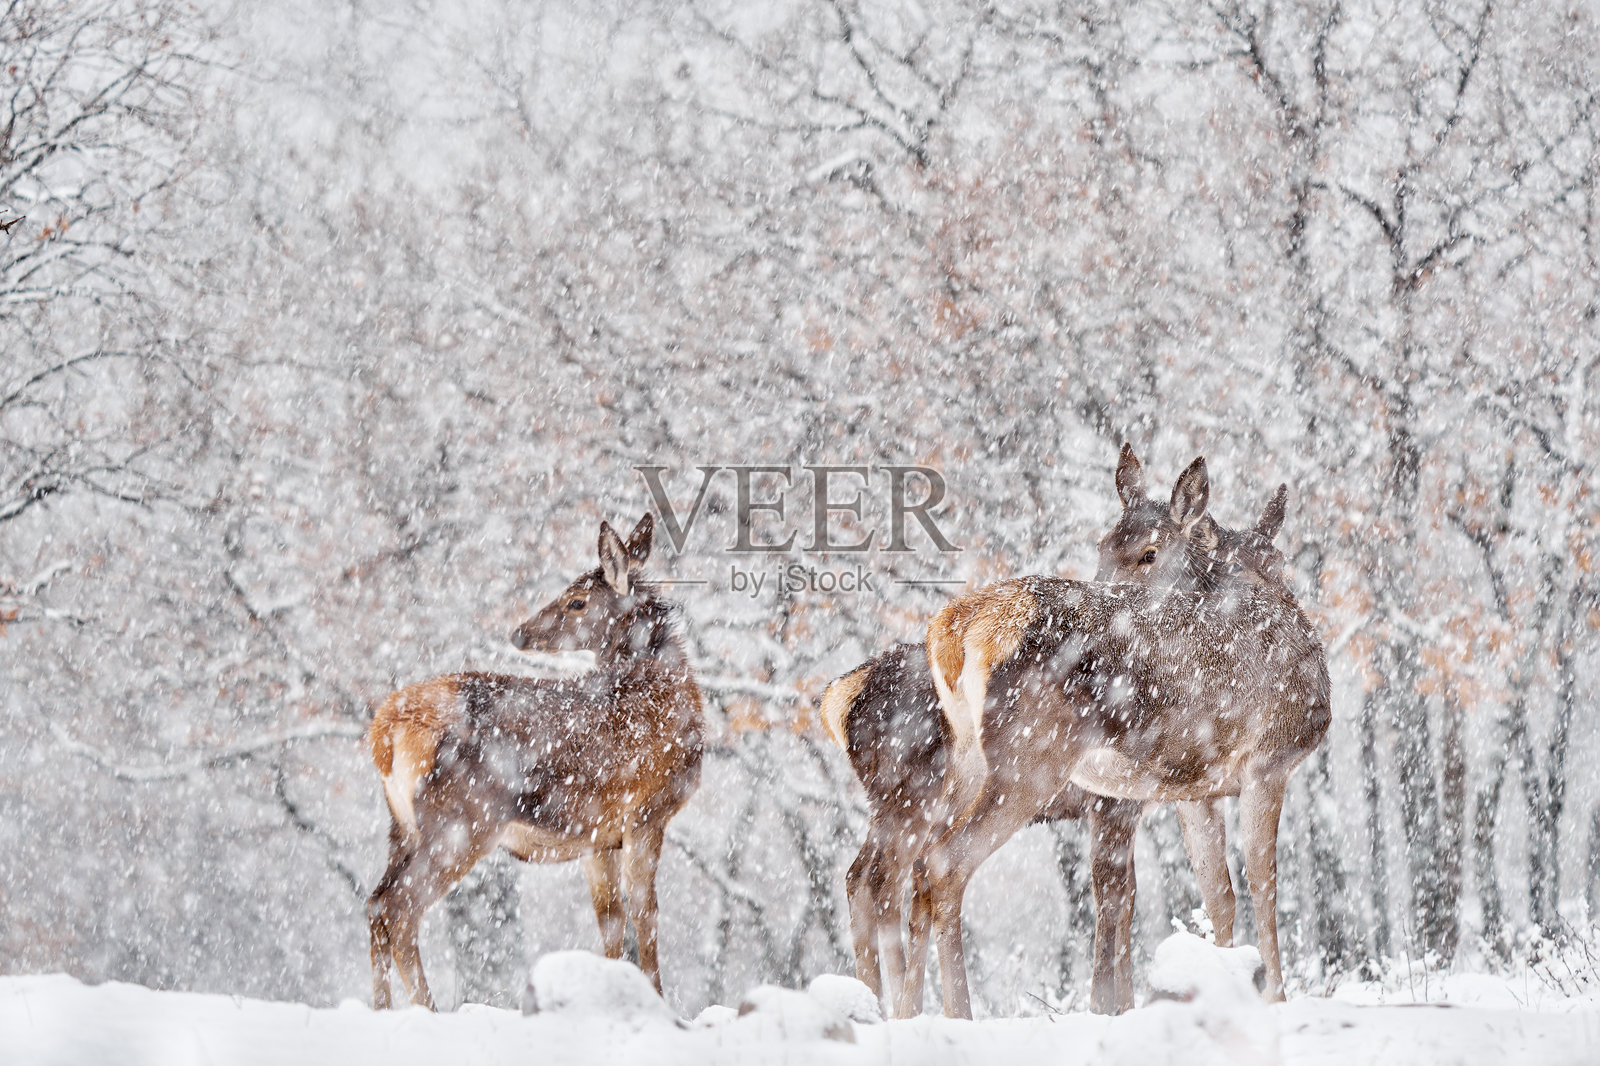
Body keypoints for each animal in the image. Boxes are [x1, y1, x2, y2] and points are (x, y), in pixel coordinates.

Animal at [365, 513, 704, 1009]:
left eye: (577, 601)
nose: (519, 632)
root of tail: (384, 731)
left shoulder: (600, 836)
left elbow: (611, 920)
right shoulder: (646, 811)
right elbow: (646, 913)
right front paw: (658, 1001)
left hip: (401, 825)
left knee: (375, 903)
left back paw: (382, 1009)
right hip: (461, 822)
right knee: (400, 907)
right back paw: (427, 1009)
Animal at [821, 446, 1293, 1017]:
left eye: (1277, 561)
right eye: (1122, 549)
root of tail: (840, 699)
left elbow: (1127, 896)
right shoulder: (1114, 800)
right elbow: (1114, 896)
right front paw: (1108, 1004)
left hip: (895, 801)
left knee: (861, 876)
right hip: (920, 792)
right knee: (887, 878)